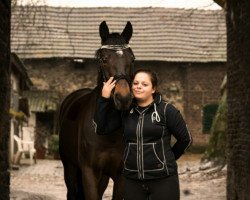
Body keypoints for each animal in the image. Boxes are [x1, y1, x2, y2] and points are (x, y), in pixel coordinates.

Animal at [58, 21, 135, 199]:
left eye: (132, 58)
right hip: (70, 167)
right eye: (104, 59)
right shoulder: (89, 172)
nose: (123, 98)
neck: (109, 133)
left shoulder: (119, 175)